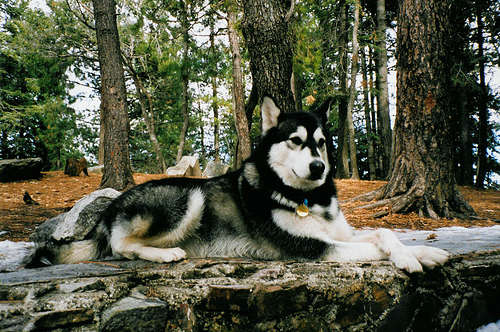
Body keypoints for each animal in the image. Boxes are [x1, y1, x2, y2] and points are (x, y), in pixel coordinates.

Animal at [36, 96, 450, 272]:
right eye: (295, 140)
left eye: (320, 142)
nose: (318, 167)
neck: (305, 198)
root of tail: (111, 208)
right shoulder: (309, 247)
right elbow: (372, 248)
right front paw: (412, 259)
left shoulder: (339, 233)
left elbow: (384, 234)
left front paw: (421, 252)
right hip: (190, 196)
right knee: (121, 247)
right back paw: (165, 254)